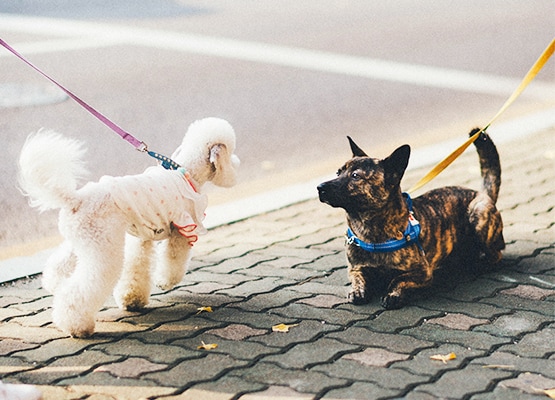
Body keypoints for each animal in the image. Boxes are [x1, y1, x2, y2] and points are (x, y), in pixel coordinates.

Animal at [318, 129, 504, 310]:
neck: (370, 230)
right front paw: (357, 291)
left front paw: (393, 294)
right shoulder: (355, 268)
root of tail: (482, 193)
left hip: (478, 216)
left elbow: (398, 279)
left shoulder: (423, 272)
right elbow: (358, 278)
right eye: (338, 172)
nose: (320, 187)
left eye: (356, 176)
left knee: (496, 254)